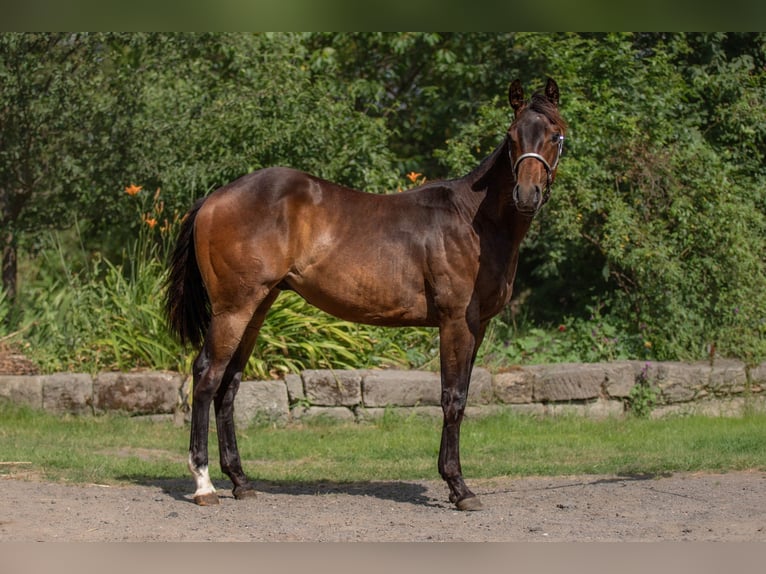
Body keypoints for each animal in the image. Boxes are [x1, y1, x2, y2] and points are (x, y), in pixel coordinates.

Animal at [165, 77, 566, 511]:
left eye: (555, 136)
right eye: (511, 137)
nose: (526, 194)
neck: (472, 221)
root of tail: (214, 198)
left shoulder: (479, 326)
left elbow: (460, 396)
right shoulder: (456, 322)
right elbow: (453, 398)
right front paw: (459, 487)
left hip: (256, 309)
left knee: (229, 385)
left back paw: (240, 481)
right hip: (233, 309)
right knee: (207, 376)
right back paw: (204, 485)